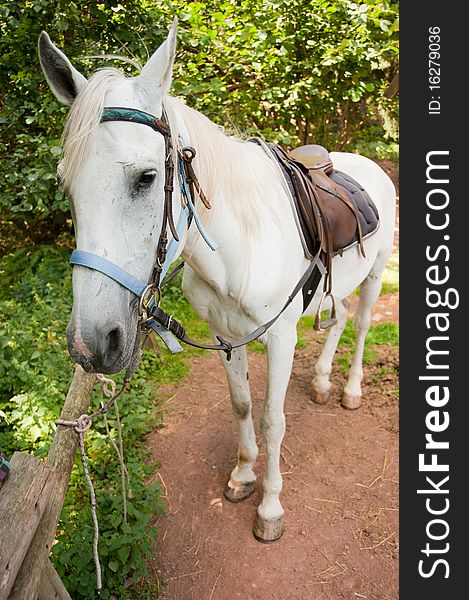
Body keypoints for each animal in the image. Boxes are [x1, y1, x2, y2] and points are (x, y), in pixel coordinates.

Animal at [39, 19, 394, 544]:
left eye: (147, 177)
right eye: (66, 184)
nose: (91, 343)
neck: (239, 245)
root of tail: (370, 166)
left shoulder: (281, 338)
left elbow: (272, 419)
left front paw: (270, 507)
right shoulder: (225, 336)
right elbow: (242, 405)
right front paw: (243, 476)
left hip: (375, 275)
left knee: (364, 324)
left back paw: (349, 390)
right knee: (342, 317)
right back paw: (323, 382)